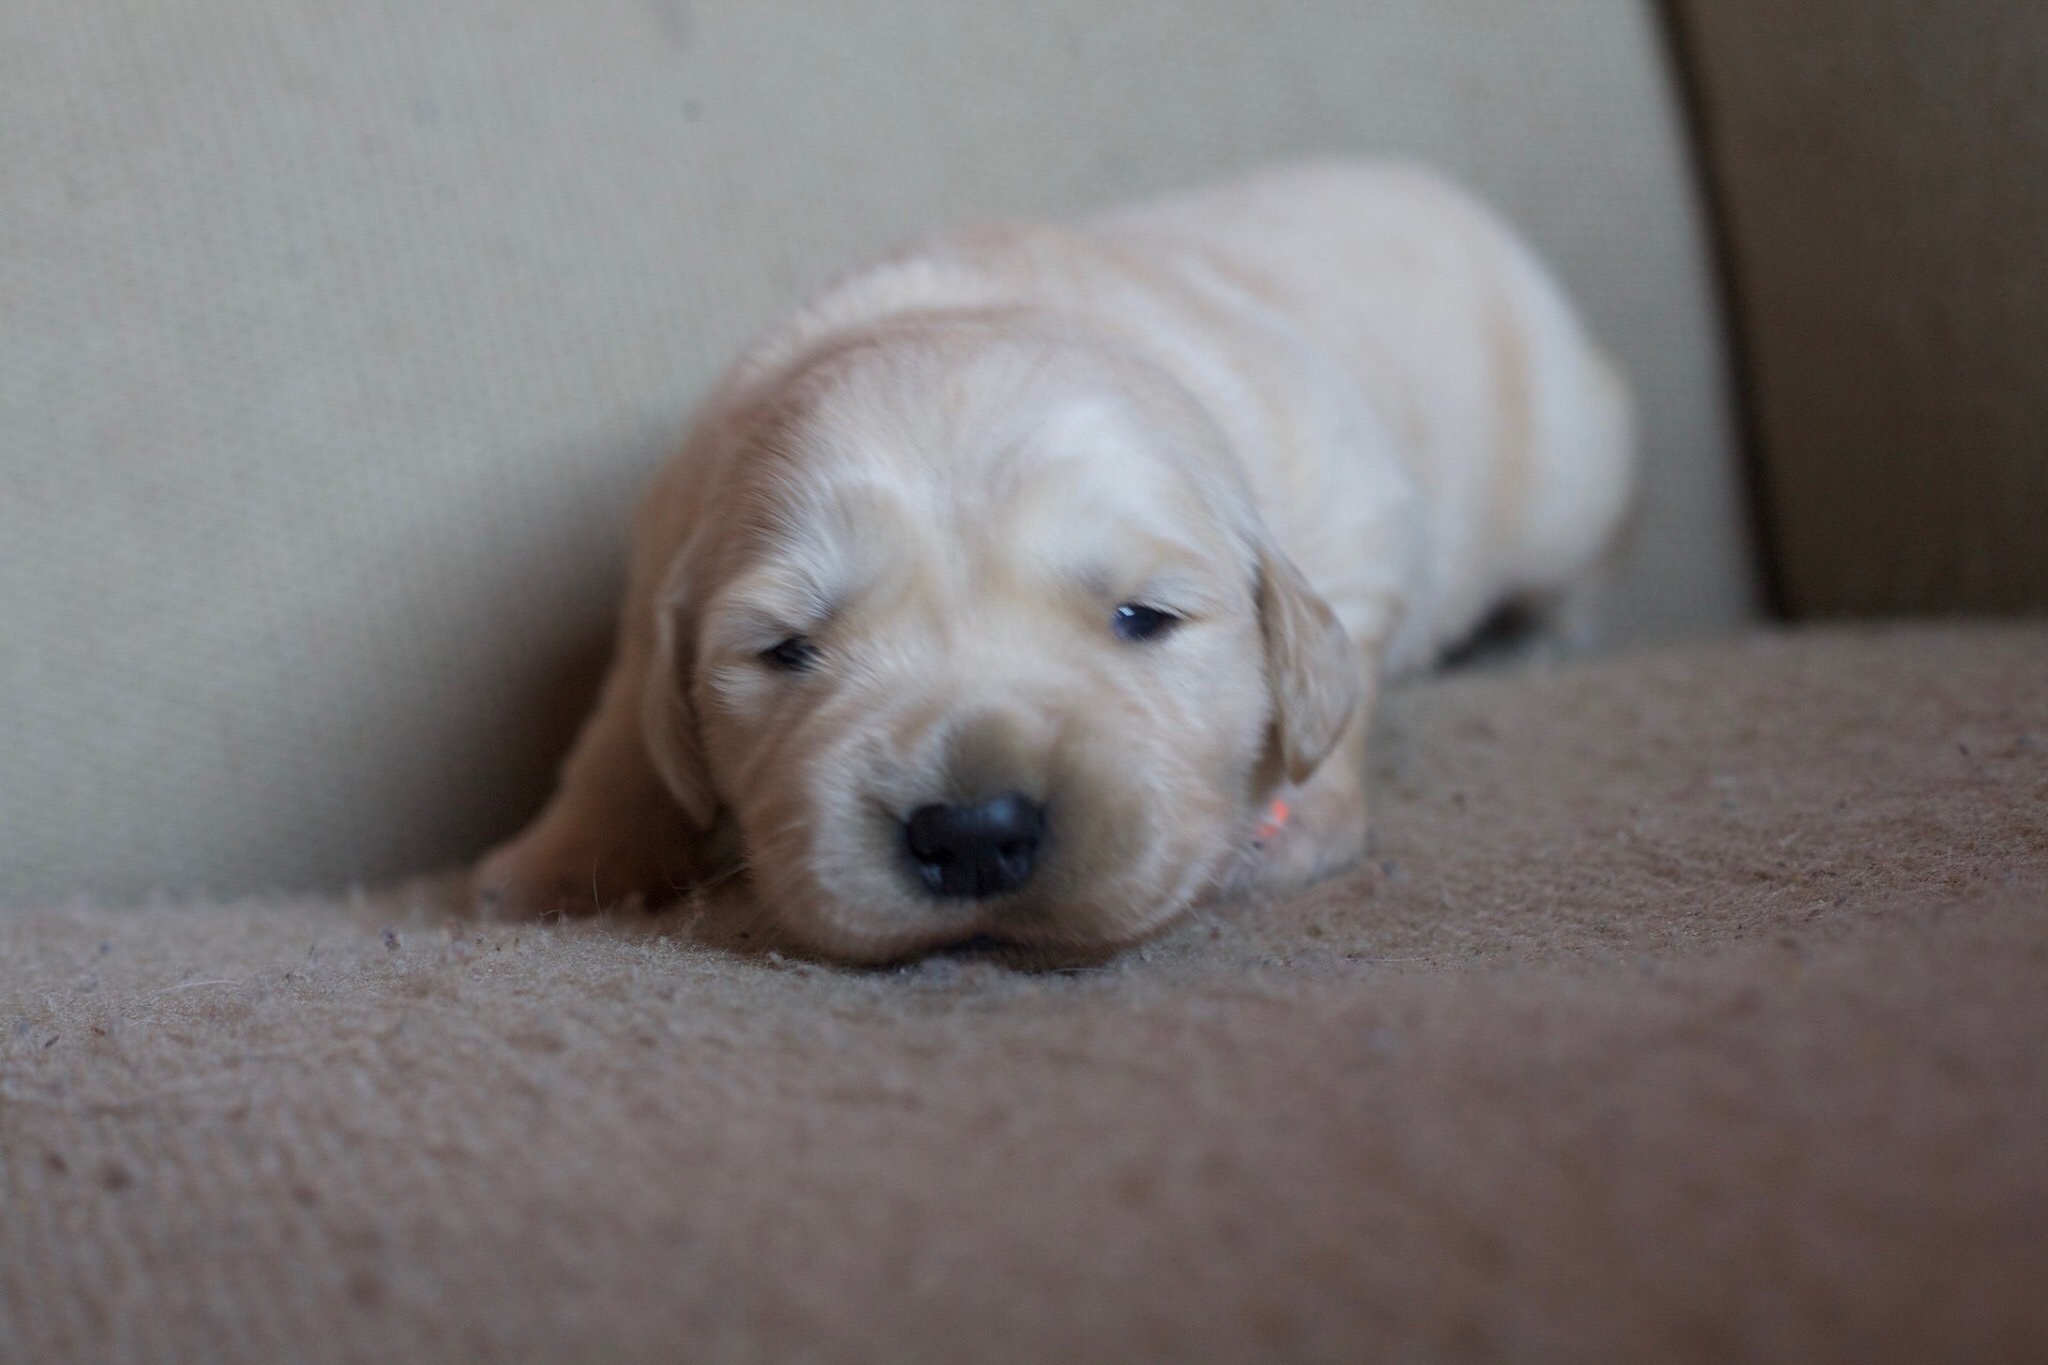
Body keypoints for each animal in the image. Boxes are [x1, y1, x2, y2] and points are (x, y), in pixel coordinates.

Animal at [473, 160, 1634, 963]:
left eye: (1143, 618)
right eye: (785, 650)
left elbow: (1338, 680)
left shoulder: (1356, 511)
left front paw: (1292, 822)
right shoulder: (663, 557)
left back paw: (1541, 641)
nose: (973, 834)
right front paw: (550, 866)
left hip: (1568, 466)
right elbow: (621, 732)